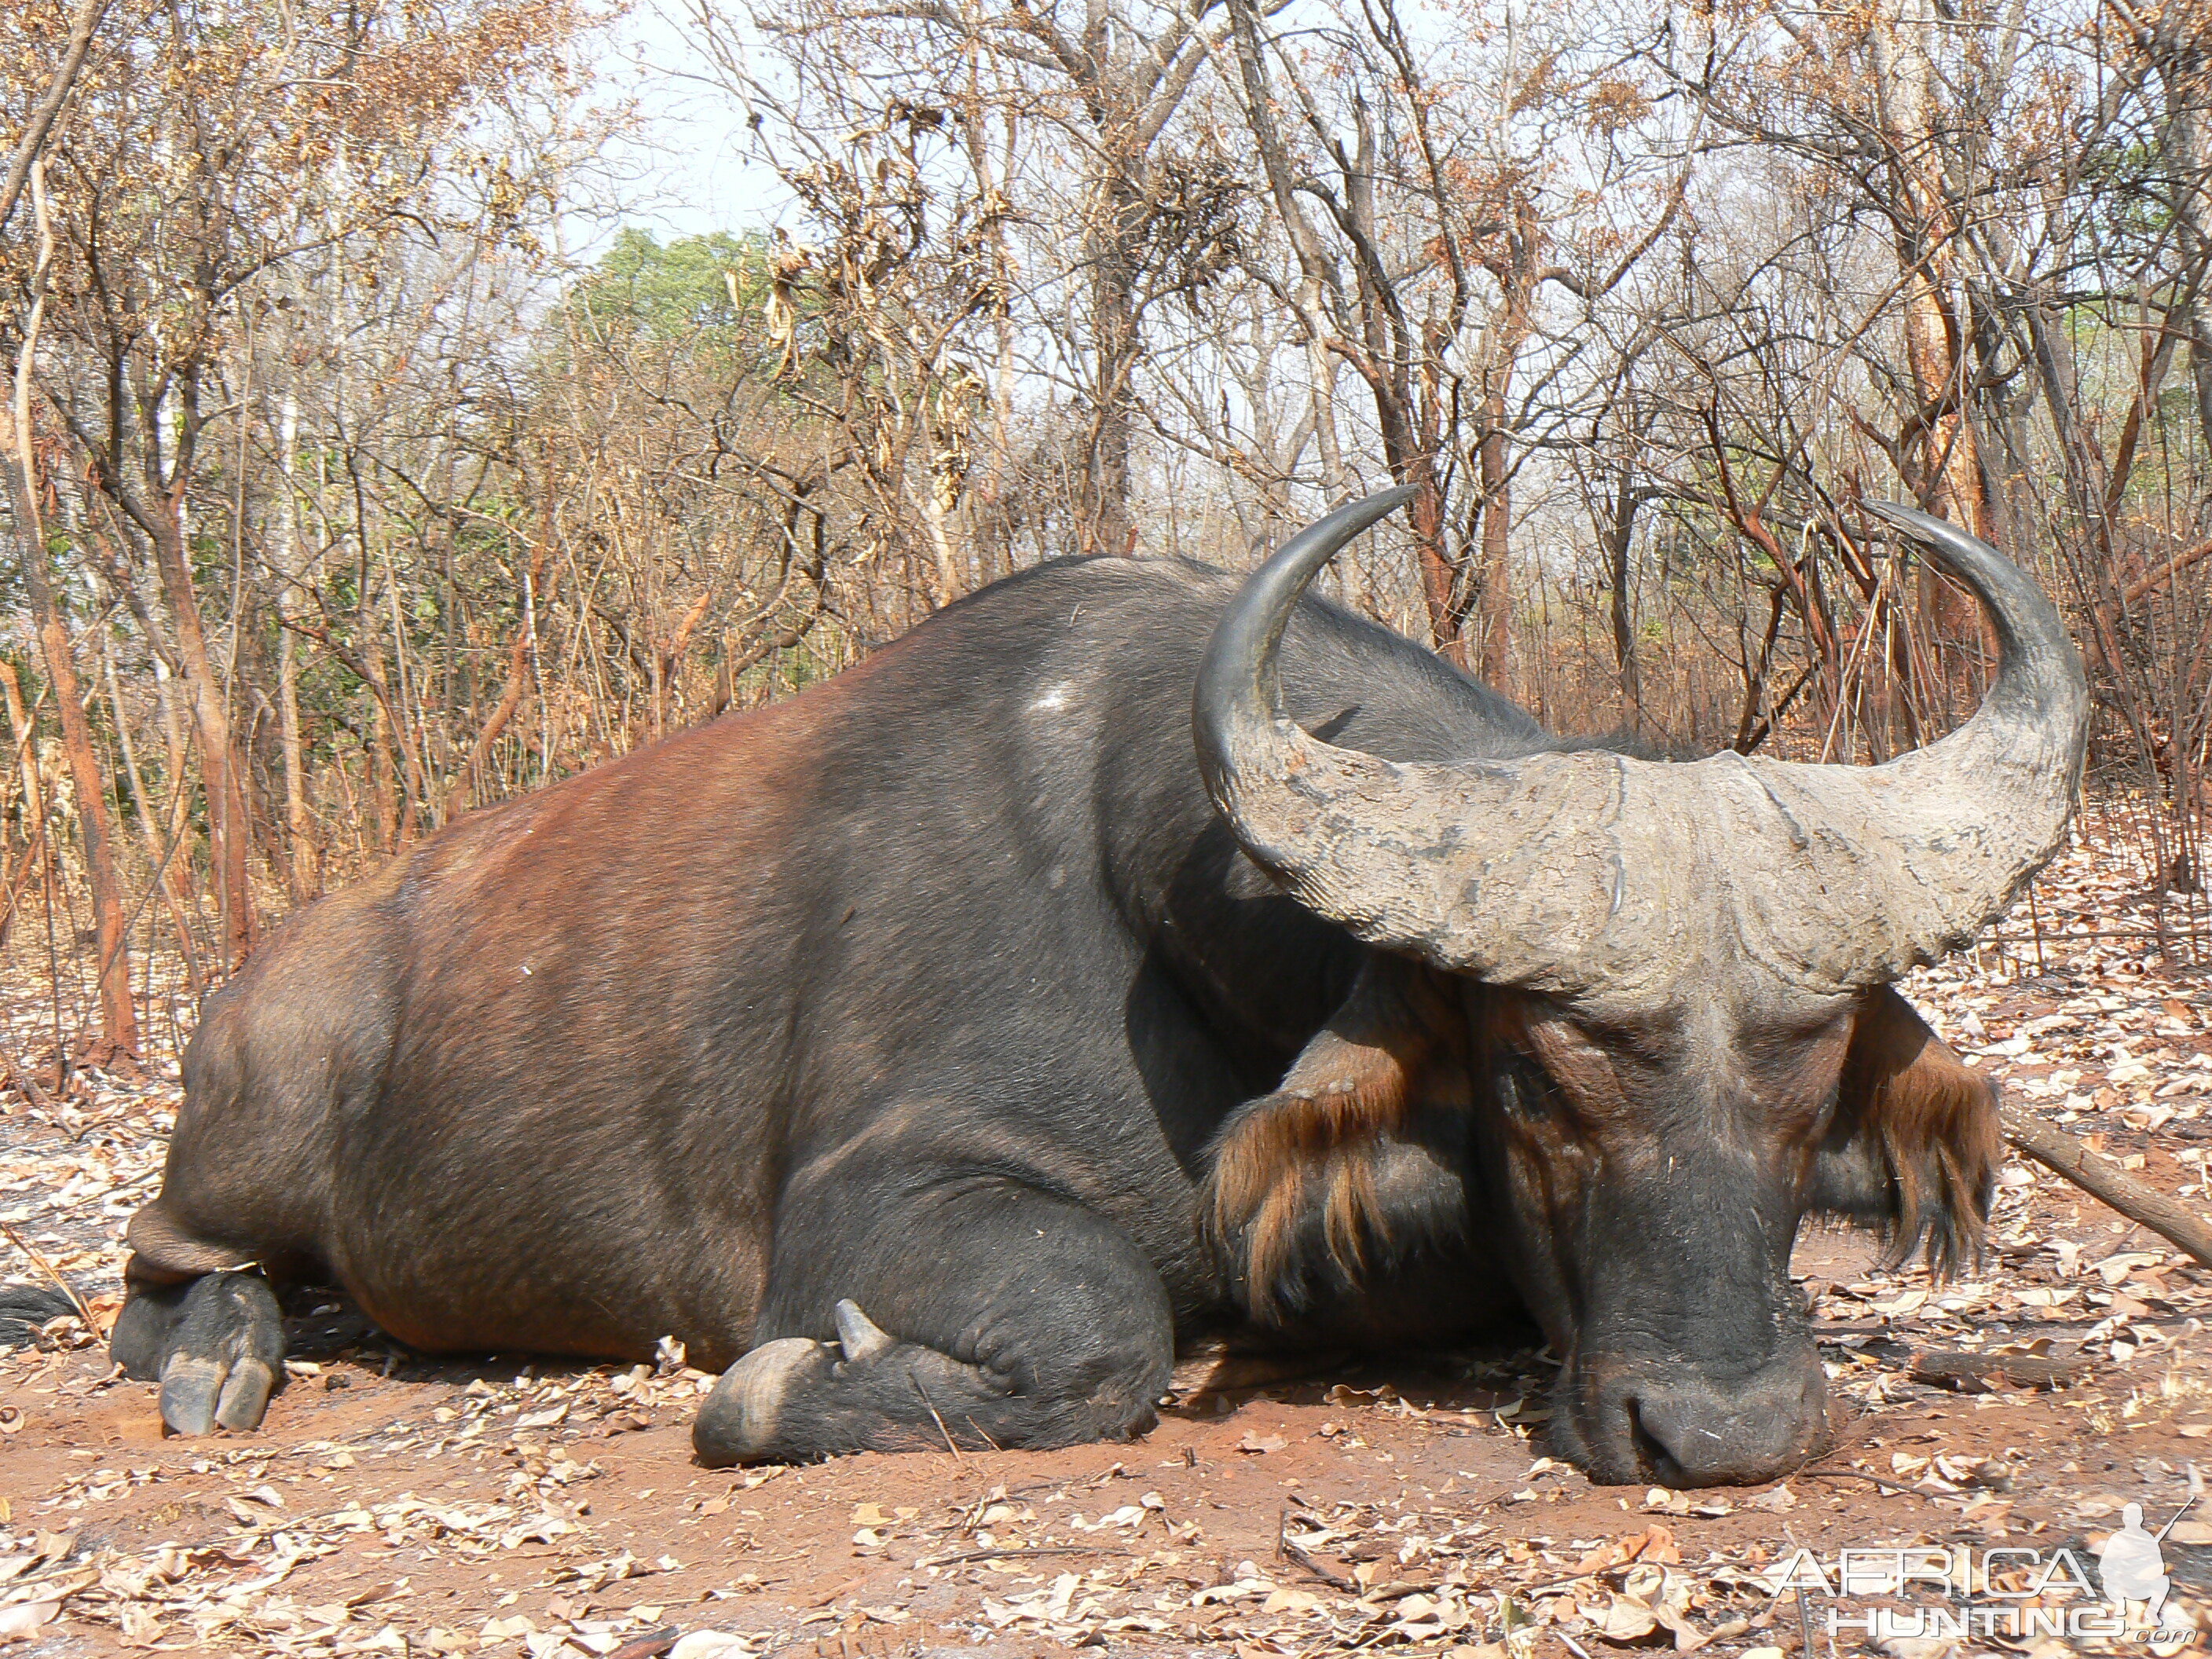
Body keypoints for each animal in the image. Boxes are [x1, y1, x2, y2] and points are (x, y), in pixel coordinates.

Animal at [35, 486, 2079, 1486]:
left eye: (1807, 1089)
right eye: (1531, 1081)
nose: (1723, 1433)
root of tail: (287, 965)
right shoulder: (881, 1197)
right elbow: (1094, 1332)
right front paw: (776, 1392)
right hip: (241, 1151)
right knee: (159, 1267)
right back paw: (219, 1357)